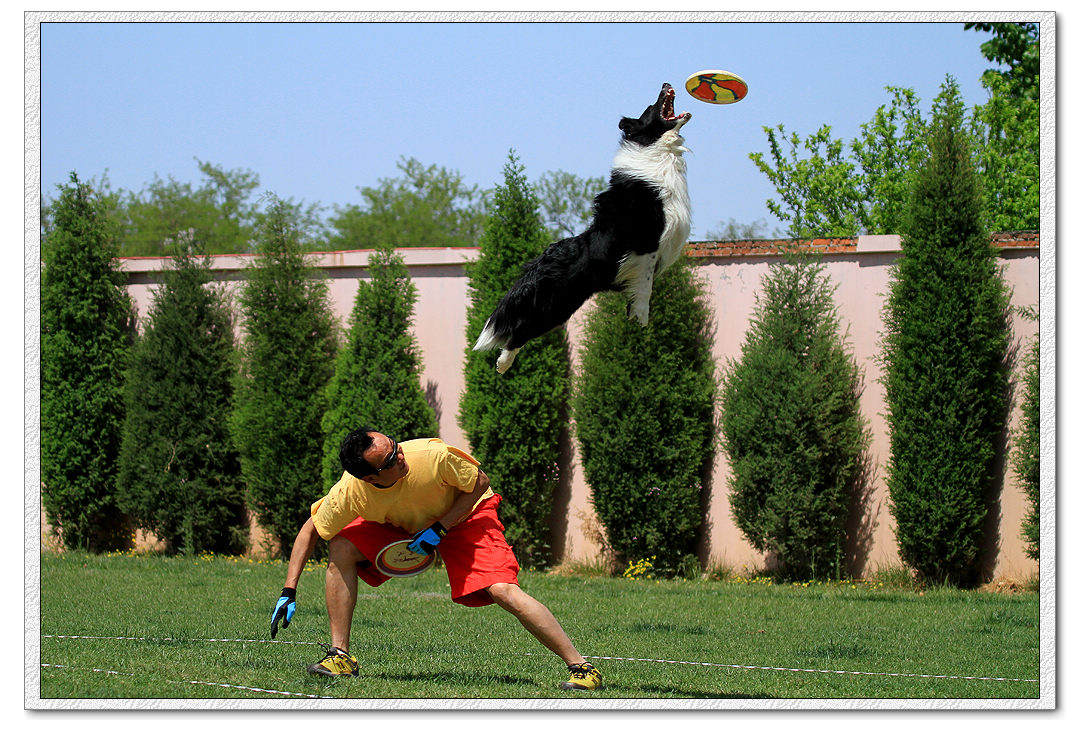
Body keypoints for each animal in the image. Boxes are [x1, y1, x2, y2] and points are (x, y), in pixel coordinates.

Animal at [473, 83, 691, 375]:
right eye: (651, 107)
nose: (666, 84)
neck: (657, 150)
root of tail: (547, 255)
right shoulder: (646, 248)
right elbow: (645, 292)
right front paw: (642, 324)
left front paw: (634, 325)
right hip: (555, 304)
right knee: (520, 330)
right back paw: (502, 364)